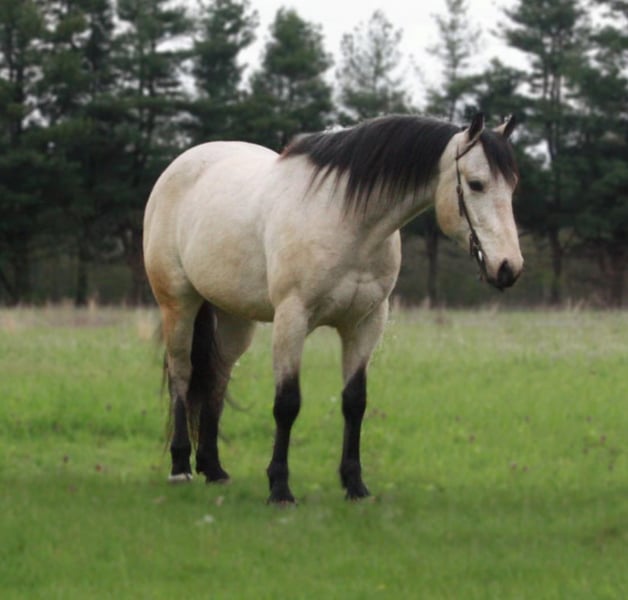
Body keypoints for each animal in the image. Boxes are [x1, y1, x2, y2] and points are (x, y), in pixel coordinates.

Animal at [143, 113, 522, 504]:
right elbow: (287, 403)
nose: (508, 267)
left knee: (216, 377)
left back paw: (213, 468)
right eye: (476, 184)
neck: (346, 221)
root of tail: (181, 164)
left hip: (235, 318)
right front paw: (280, 488)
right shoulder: (292, 319)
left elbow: (355, 402)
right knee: (183, 375)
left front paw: (355, 485)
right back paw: (181, 467)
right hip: (179, 304)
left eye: (512, 186)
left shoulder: (365, 324)